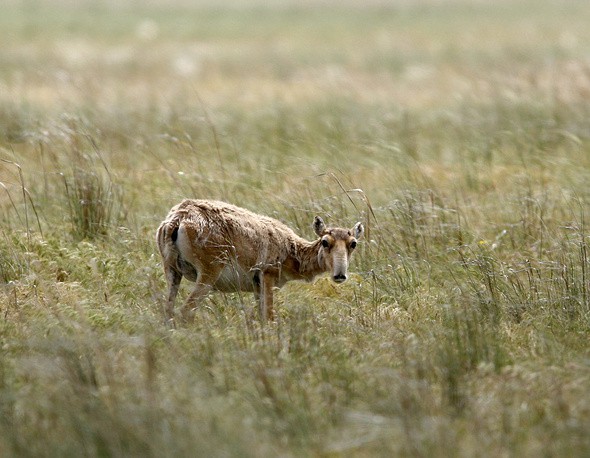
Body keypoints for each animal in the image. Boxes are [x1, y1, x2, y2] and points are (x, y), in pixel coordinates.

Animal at [155, 199, 364, 324]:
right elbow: (269, 317)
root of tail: (178, 218)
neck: (291, 248)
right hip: (207, 276)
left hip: (173, 273)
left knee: (168, 310)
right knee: (185, 311)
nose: (340, 275)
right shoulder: (268, 277)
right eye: (325, 241)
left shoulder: (257, 287)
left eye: (353, 243)